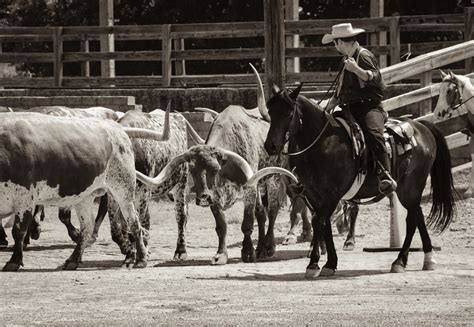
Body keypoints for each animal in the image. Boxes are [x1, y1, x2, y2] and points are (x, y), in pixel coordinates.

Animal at [0, 113, 169, 272]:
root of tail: (116, 128)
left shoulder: (24, 199)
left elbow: (18, 231)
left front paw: (14, 261)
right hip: (85, 197)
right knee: (87, 227)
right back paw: (73, 259)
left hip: (123, 190)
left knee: (134, 223)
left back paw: (141, 259)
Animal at [262, 84, 456, 276]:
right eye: (270, 112)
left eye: (289, 113)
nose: (270, 146)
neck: (323, 143)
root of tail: (421, 126)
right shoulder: (312, 194)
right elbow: (323, 224)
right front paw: (326, 263)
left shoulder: (332, 194)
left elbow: (320, 222)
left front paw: (315, 263)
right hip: (407, 189)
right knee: (418, 216)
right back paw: (424, 259)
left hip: (412, 186)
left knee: (413, 220)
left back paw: (402, 260)